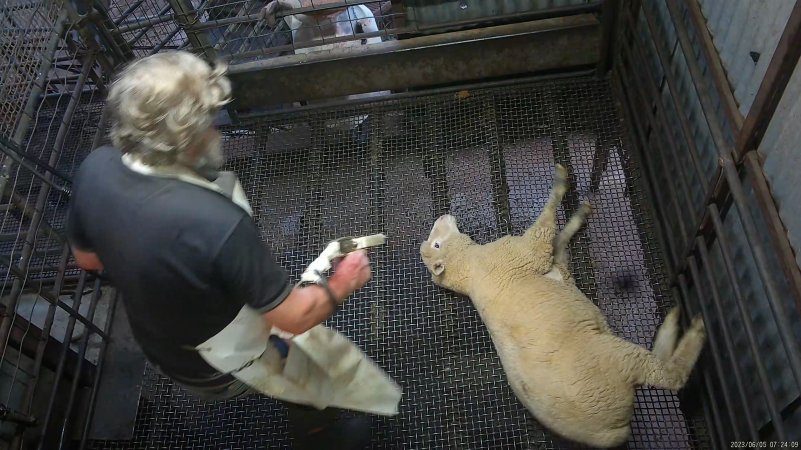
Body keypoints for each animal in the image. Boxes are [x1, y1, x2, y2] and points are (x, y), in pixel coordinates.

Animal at [418, 164, 708, 446]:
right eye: (437, 244)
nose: (442, 217)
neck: (468, 269)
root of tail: (610, 434)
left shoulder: (555, 264)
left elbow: (559, 241)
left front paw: (579, 214)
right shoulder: (526, 253)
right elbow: (544, 229)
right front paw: (559, 181)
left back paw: (672, 323)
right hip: (616, 360)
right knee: (667, 376)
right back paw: (692, 328)